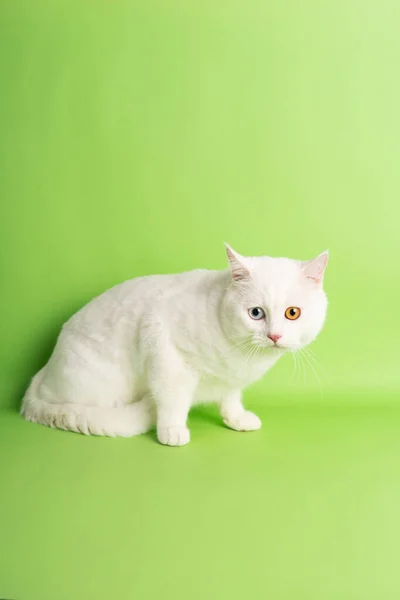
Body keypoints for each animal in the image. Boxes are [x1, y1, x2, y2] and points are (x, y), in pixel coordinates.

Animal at [21, 244, 328, 446]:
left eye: (292, 313)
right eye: (255, 313)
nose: (274, 336)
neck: (243, 356)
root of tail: (39, 378)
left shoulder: (230, 380)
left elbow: (230, 399)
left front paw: (236, 419)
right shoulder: (165, 353)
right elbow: (173, 401)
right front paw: (172, 431)